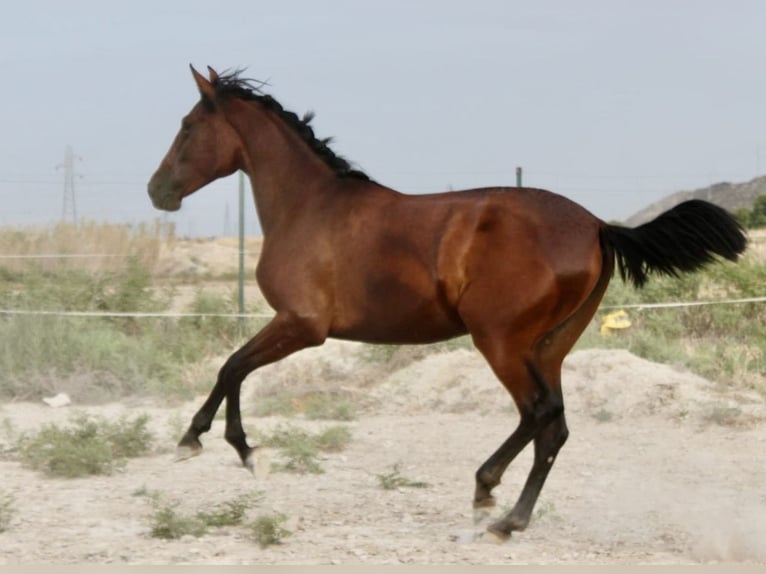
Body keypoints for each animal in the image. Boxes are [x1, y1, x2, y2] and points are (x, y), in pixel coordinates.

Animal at [147, 67, 748, 540]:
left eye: (187, 126)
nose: (157, 191)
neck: (309, 207)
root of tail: (598, 225)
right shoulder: (293, 326)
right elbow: (234, 369)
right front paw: (231, 448)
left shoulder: (301, 326)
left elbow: (232, 367)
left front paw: (215, 446)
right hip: (549, 347)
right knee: (553, 425)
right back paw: (509, 519)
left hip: (500, 342)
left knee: (539, 413)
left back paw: (488, 498)